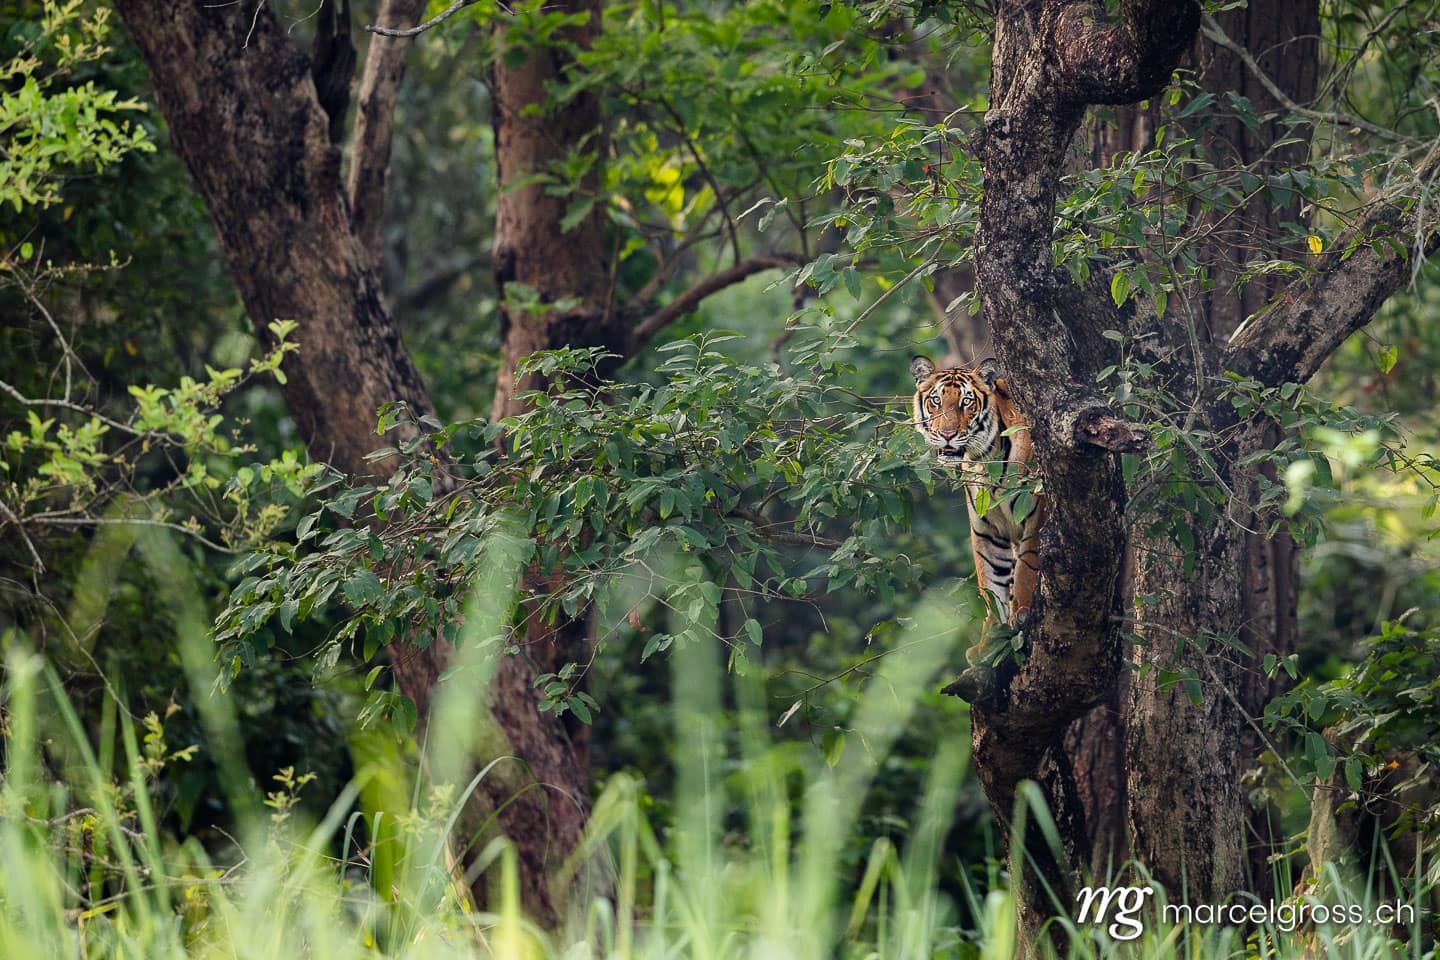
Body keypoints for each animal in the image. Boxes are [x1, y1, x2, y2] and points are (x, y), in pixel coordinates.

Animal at [910, 355, 1043, 637]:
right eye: (936, 400)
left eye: (966, 402)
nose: (947, 435)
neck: (983, 459)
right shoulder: (987, 532)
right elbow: (991, 583)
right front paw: (992, 633)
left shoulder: (1036, 515)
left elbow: (1027, 566)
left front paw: (1022, 611)